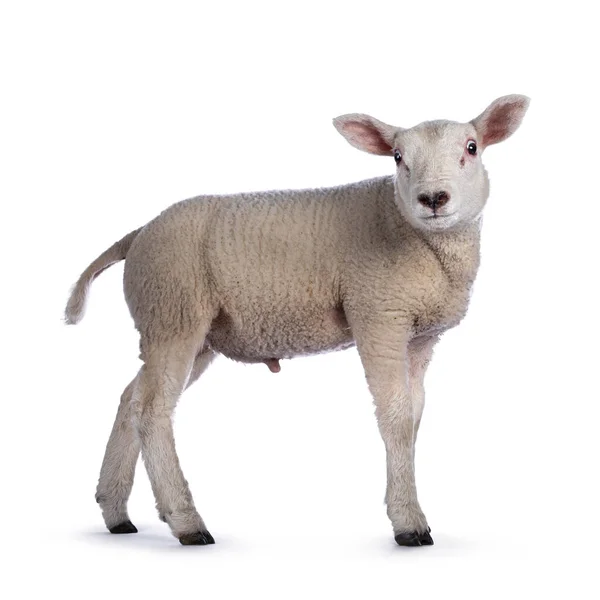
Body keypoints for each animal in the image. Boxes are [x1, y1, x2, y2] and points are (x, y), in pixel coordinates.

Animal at [65, 95, 528, 548]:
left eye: (471, 148)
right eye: (397, 157)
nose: (433, 199)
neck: (412, 233)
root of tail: (138, 234)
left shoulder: (419, 337)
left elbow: (414, 416)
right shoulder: (378, 315)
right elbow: (395, 417)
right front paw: (409, 523)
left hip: (187, 330)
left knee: (130, 399)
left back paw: (115, 511)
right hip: (173, 311)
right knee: (152, 409)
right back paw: (187, 522)